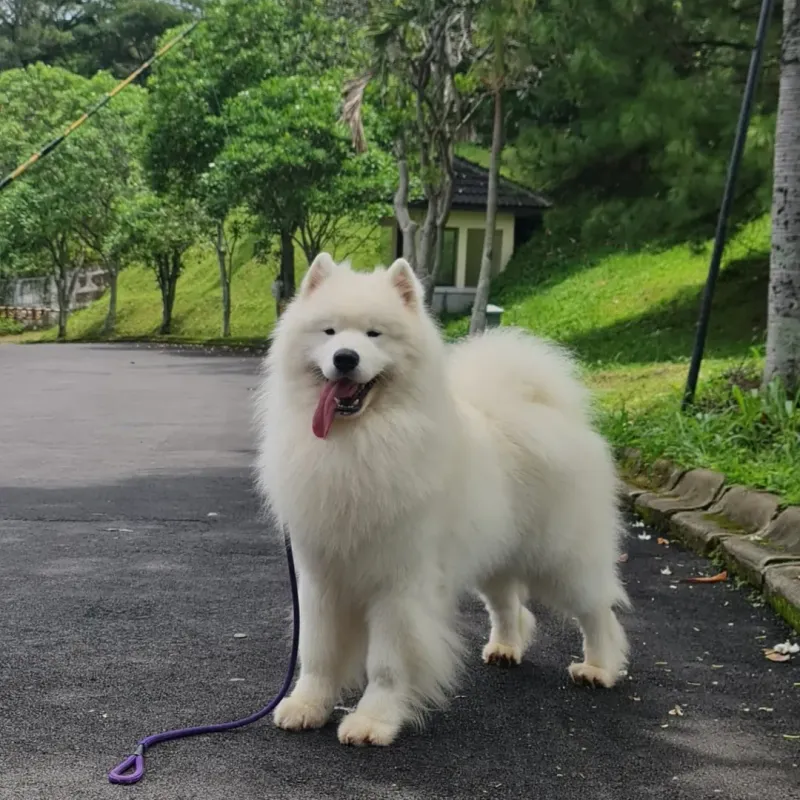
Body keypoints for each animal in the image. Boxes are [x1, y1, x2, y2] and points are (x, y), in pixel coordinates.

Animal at [256, 253, 632, 748]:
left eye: (374, 334)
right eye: (330, 332)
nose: (345, 358)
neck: (359, 441)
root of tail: (545, 410)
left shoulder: (399, 584)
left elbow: (387, 663)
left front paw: (373, 721)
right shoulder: (321, 577)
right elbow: (317, 651)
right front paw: (307, 705)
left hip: (561, 559)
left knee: (597, 611)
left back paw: (599, 668)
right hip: (495, 555)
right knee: (509, 605)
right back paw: (506, 647)